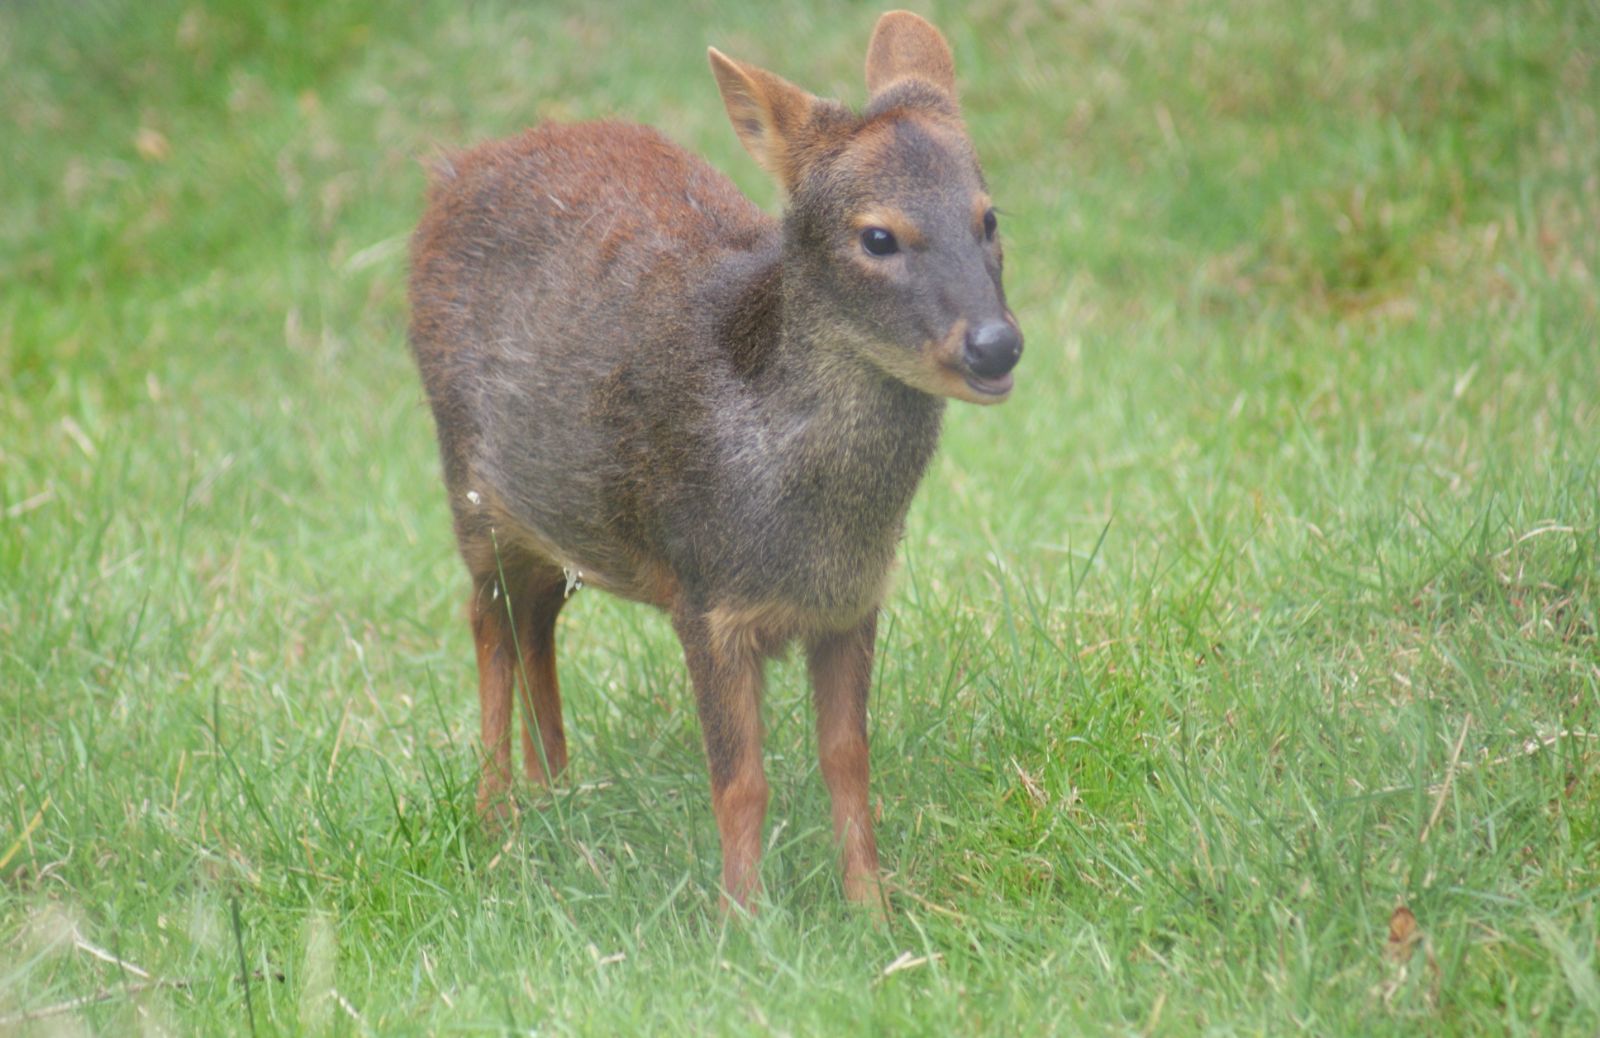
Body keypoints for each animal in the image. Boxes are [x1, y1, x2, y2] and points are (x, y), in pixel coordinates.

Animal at [406, 10, 1017, 908]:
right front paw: (742, 918)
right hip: (471, 489)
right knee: (490, 623)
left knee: (537, 621)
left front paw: (873, 909)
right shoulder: (705, 595)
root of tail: (449, 174)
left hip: (561, 512)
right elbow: (740, 781)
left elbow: (848, 761)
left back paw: (558, 794)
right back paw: (496, 821)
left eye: (989, 218)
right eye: (877, 235)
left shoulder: (852, 601)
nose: (996, 344)